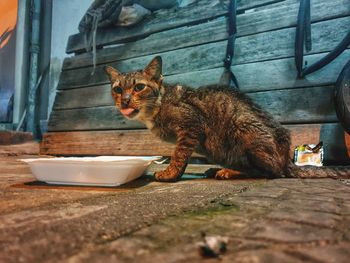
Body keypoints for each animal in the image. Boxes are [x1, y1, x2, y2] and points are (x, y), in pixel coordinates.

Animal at [104, 56, 350, 183]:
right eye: (117, 89)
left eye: (139, 87)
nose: (125, 101)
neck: (157, 106)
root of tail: (286, 159)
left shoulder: (191, 125)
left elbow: (179, 156)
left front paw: (171, 174)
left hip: (243, 126)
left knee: (271, 173)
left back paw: (230, 172)